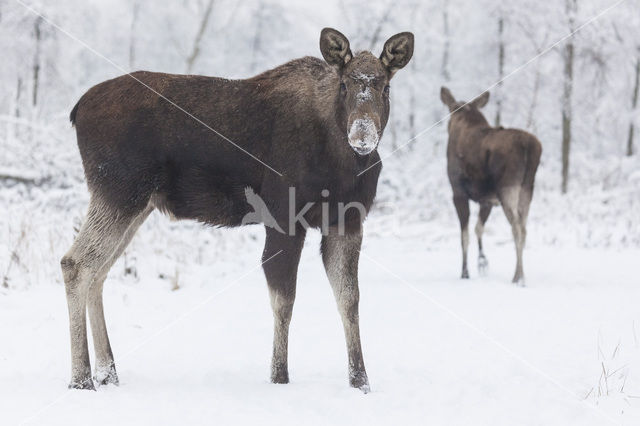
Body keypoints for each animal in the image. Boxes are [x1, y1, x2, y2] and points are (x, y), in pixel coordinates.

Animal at [58, 27, 410, 392]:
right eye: (344, 85)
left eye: (385, 86)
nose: (362, 135)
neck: (342, 166)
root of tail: (76, 109)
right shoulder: (284, 217)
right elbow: (284, 299)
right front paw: (279, 376)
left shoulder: (347, 220)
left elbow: (349, 298)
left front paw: (360, 380)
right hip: (119, 192)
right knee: (76, 263)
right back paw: (81, 378)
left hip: (137, 204)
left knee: (99, 271)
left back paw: (107, 372)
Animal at [442, 87, 544, 286]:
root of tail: (530, 147)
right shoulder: (487, 200)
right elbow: (478, 228)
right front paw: (482, 261)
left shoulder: (458, 192)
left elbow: (464, 235)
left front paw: (465, 272)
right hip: (527, 188)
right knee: (524, 229)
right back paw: (521, 275)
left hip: (508, 187)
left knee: (516, 228)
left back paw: (517, 277)